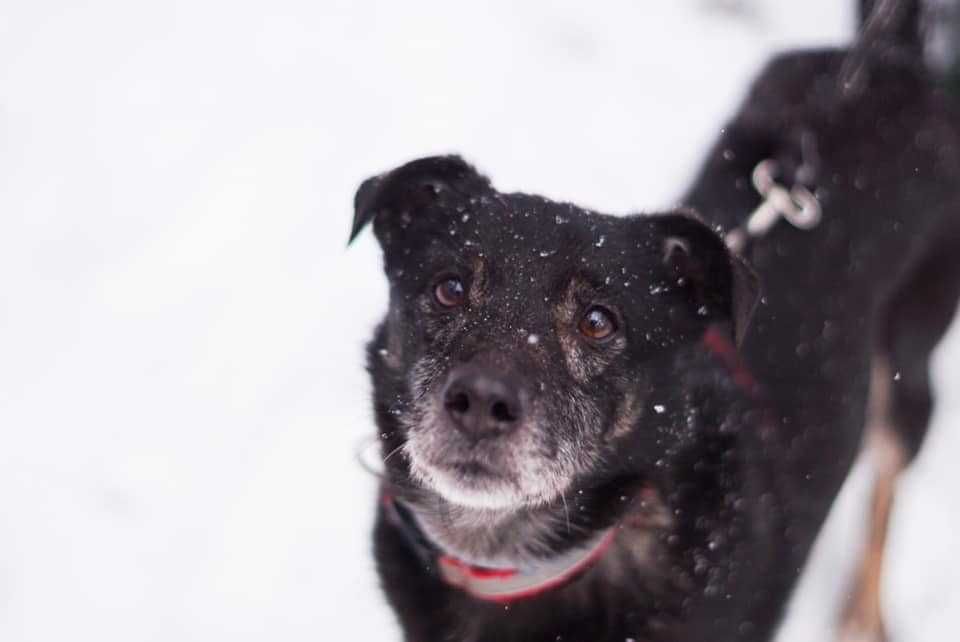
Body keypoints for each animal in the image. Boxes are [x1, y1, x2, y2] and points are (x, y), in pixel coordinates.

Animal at [348, 2, 960, 636]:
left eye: (598, 322)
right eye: (449, 288)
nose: (481, 402)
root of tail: (890, 55)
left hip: (908, 375)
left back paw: (863, 612)